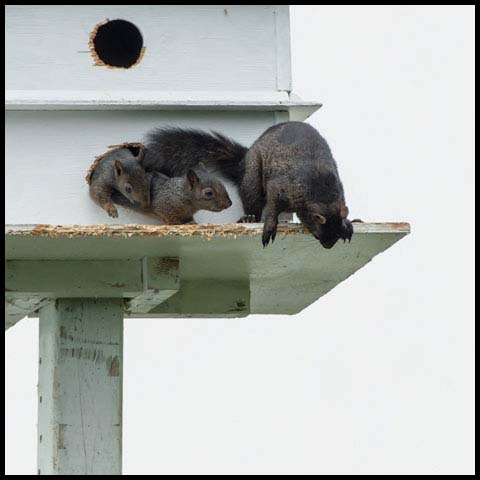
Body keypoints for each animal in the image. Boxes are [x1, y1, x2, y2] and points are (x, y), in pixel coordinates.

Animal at [139, 122, 352, 248]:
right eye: (317, 234)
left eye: (336, 233)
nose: (328, 246)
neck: (320, 191)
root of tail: (244, 160)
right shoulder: (281, 186)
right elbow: (273, 207)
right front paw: (270, 225)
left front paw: (348, 223)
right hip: (252, 182)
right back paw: (249, 218)